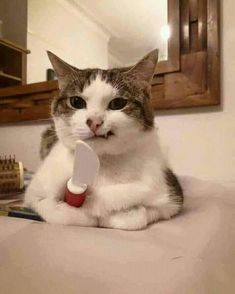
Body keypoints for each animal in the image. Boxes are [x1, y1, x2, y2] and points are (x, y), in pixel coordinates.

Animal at [25, 49, 184, 231]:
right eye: (76, 101)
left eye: (118, 103)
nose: (94, 122)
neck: (100, 162)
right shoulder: (34, 193)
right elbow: (54, 210)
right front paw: (85, 214)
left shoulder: (170, 196)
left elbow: (137, 216)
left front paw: (111, 214)